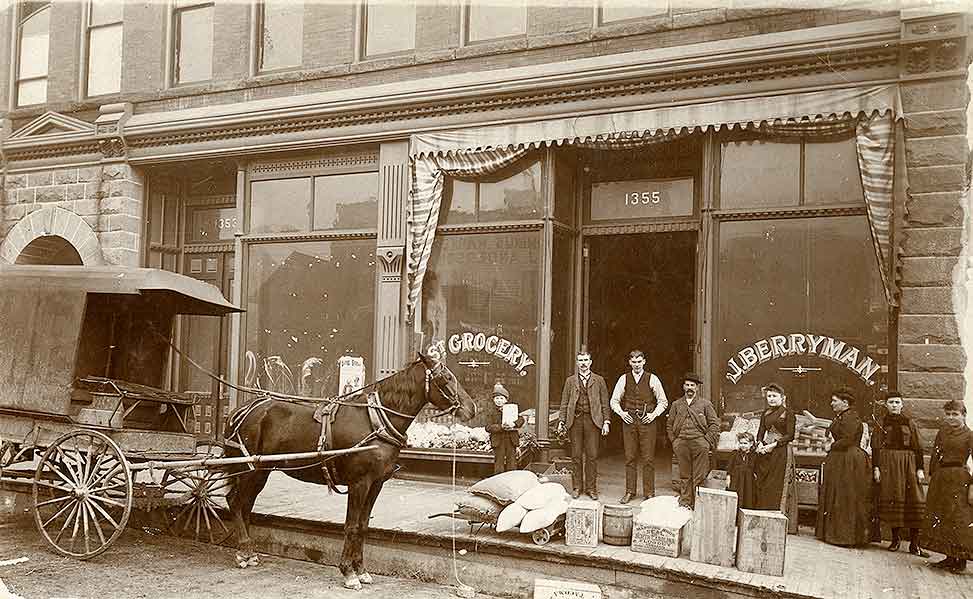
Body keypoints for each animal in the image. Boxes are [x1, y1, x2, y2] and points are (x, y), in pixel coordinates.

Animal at [221, 352, 478, 592]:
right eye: (446, 378)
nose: (472, 409)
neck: (376, 421)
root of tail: (240, 411)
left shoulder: (376, 483)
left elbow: (363, 526)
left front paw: (361, 570)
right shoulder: (359, 483)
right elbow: (351, 526)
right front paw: (348, 573)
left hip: (260, 471)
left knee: (245, 504)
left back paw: (248, 552)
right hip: (250, 470)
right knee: (235, 501)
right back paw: (243, 551)